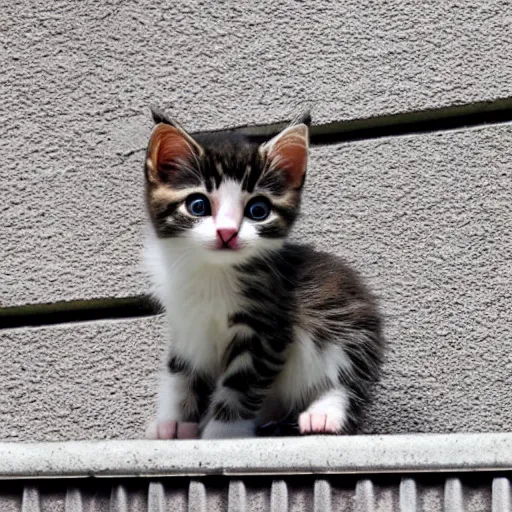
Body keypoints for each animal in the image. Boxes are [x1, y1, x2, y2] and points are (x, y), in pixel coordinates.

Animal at [144, 109, 384, 440]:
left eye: (258, 210)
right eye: (198, 205)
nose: (227, 233)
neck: (210, 271)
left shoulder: (264, 327)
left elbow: (241, 384)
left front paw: (222, 433)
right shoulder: (185, 322)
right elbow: (180, 369)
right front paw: (173, 421)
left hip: (349, 325)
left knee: (348, 377)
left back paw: (324, 413)